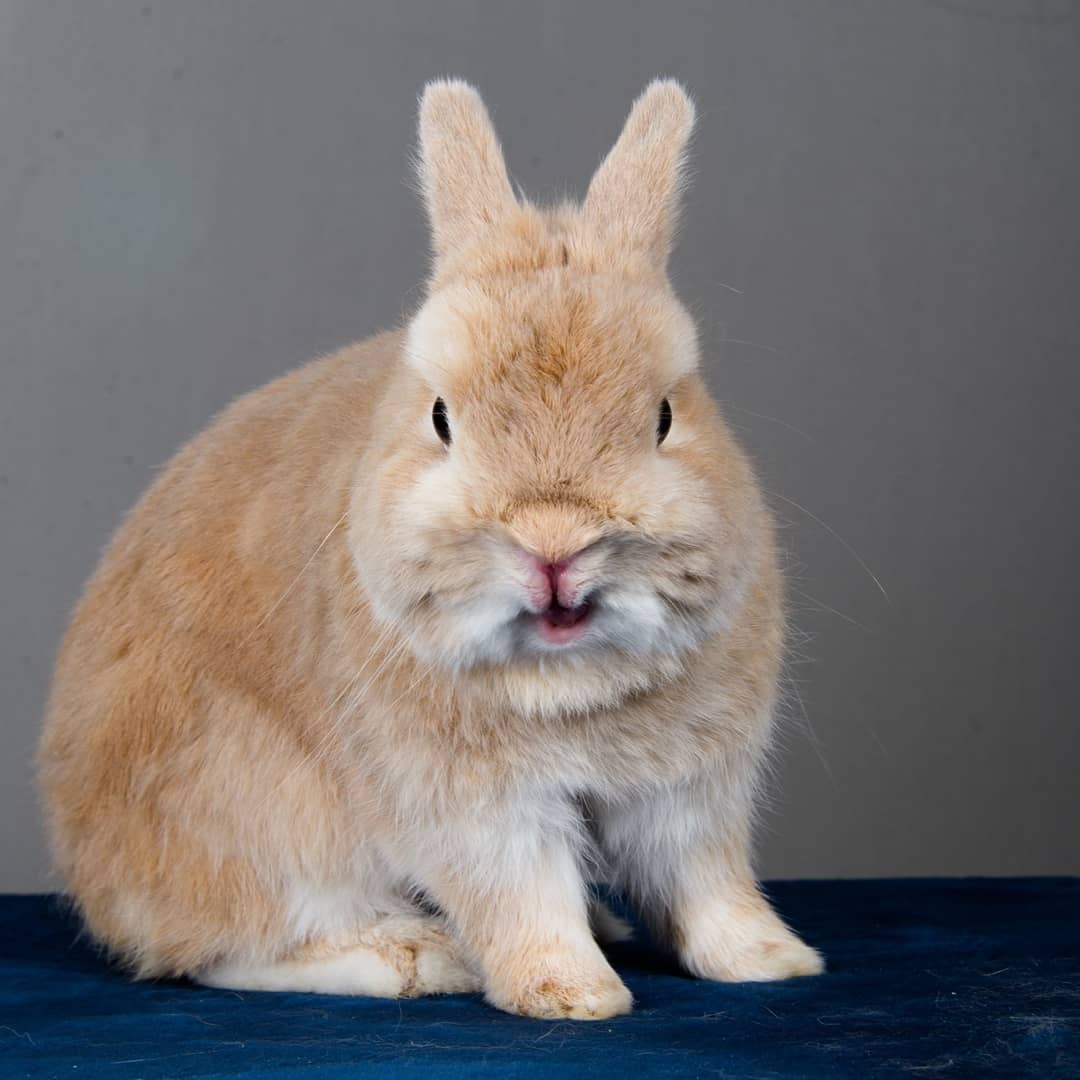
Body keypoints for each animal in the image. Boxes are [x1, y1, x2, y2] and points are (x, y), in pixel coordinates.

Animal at [38, 78, 824, 1020]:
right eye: (442, 418)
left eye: (666, 416)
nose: (554, 543)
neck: (571, 679)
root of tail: (88, 865)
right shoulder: (477, 812)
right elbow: (525, 899)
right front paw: (571, 994)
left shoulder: (690, 796)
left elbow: (707, 886)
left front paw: (773, 960)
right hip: (251, 815)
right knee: (226, 946)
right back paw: (418, 958)